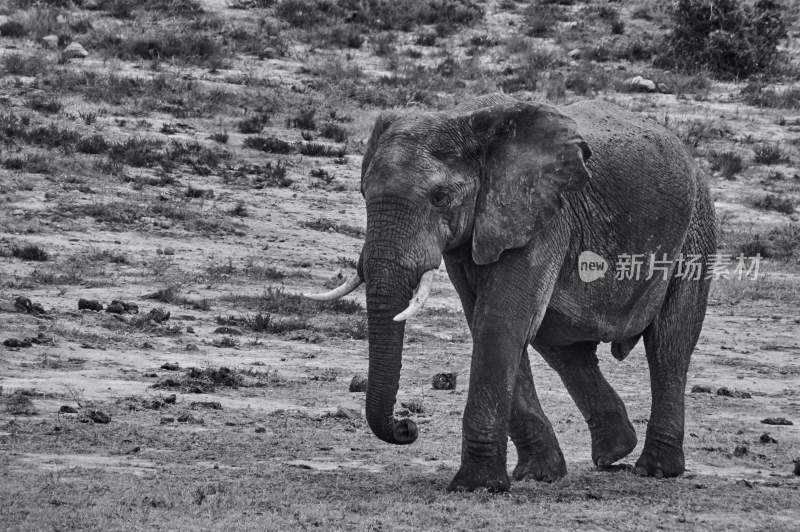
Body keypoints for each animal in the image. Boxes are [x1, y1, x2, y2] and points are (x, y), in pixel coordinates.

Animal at [304, 93, 712, 492]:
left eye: (440, 197)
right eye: (363, 193)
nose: (408, 426)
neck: (470, 121)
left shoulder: (542, 217)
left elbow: (499, 323)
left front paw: (476, 487)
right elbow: (491, 323)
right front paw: (535, 475)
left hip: (696, 230)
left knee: (669, 344)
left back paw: (655, 470)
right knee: (563, 348)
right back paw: (614, 452)